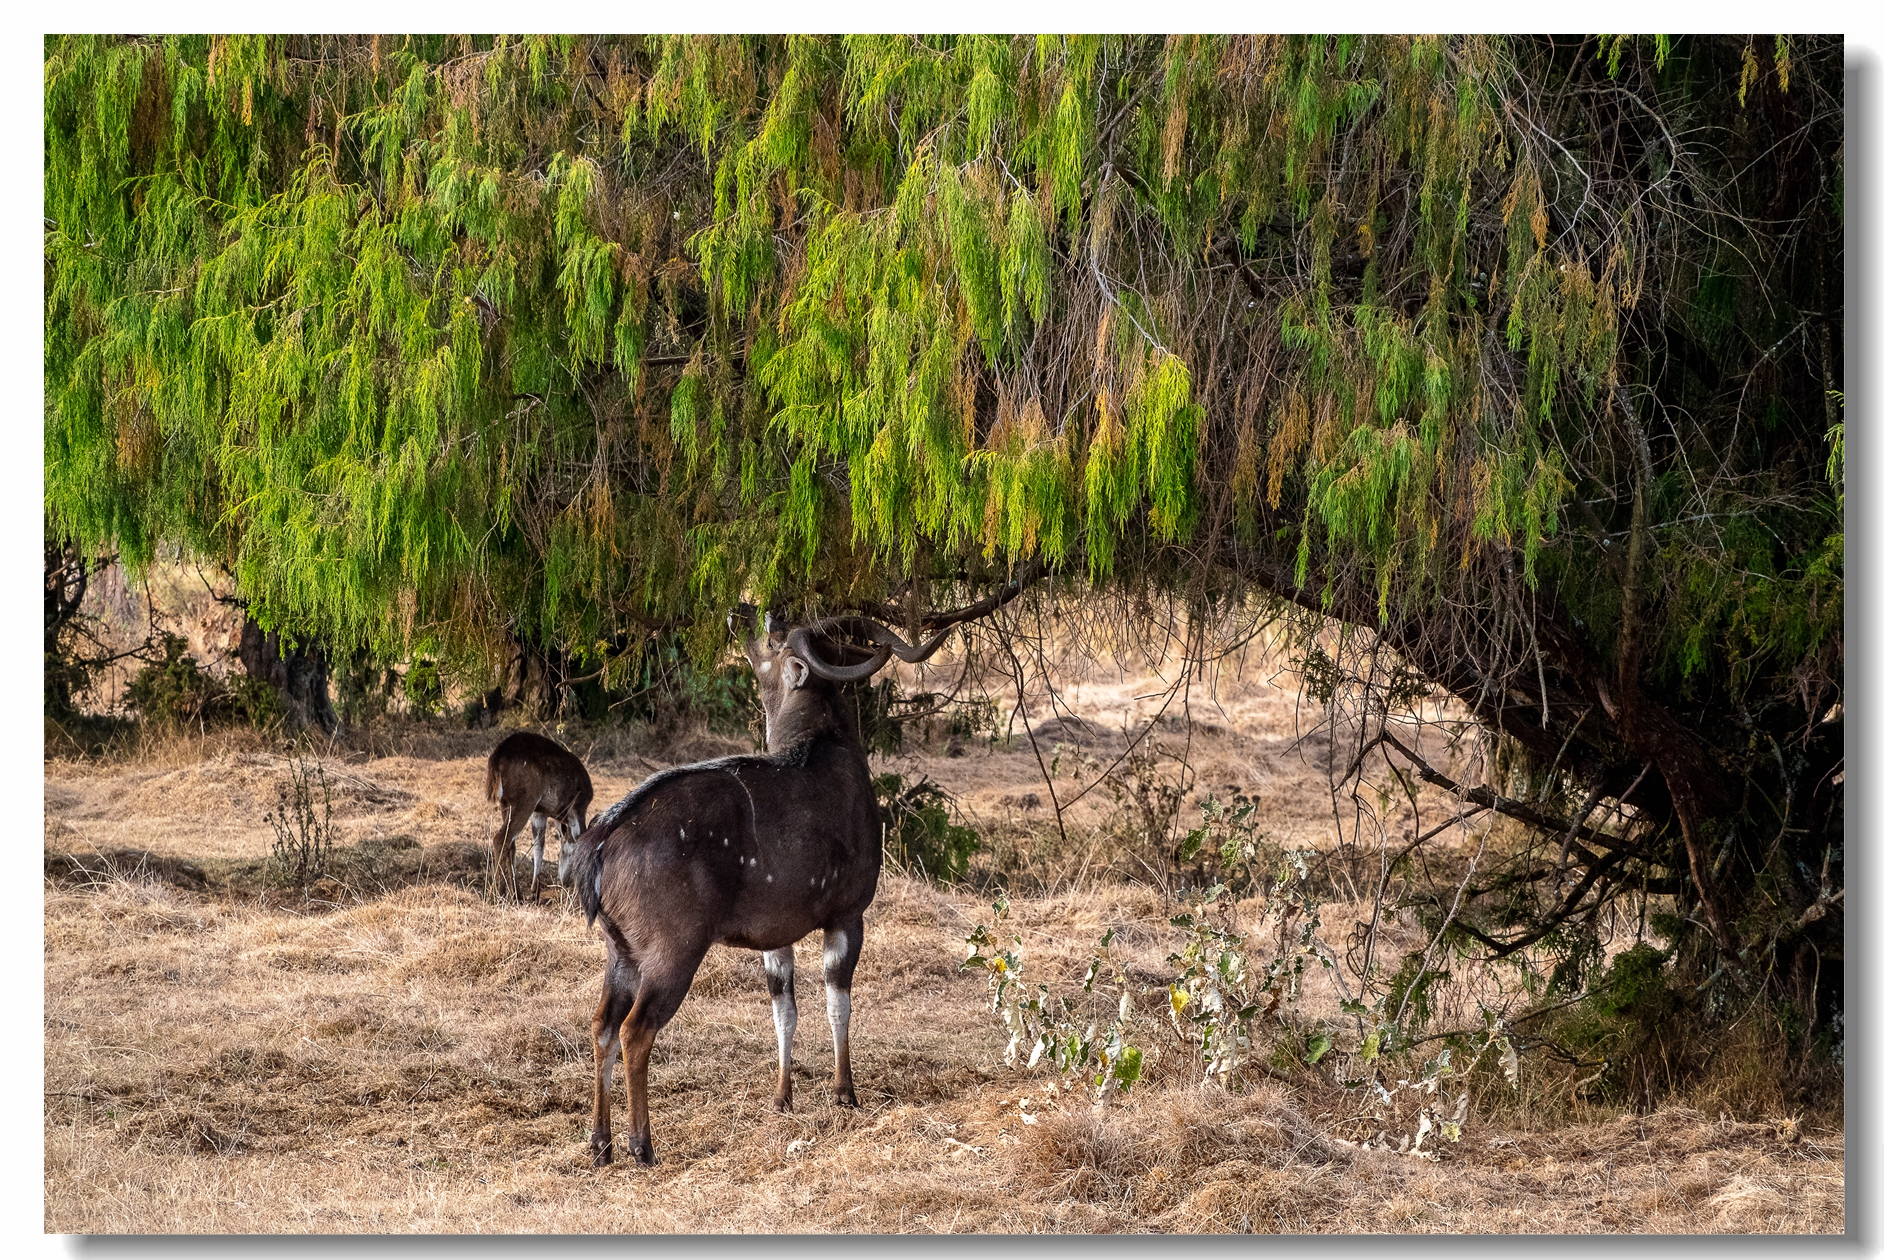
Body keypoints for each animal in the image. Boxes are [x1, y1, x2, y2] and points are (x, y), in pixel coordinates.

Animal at [486, 730, 595, 900]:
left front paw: (534, 890)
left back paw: (516, 893)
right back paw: (501, 893)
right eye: (570, 855)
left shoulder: (539, 812)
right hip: (526, 799)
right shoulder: (576, 808)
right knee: (501, 837)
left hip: (506, 803)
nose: (565, 881)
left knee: (511, 842)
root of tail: (497, 757)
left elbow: (539, 845)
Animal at [565, 583, 1024, 1167]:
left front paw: (782, 1099)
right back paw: (641, 1145)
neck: (825, 749)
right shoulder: (849, 910)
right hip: (673, 946)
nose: (745, 608)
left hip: (620, 949)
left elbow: (784, 1007)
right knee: (634, 1030)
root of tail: (598, 846)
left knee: (601, 1024)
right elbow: (837, 1000)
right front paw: (845, 1092)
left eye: (772, 631)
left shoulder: (774, 932)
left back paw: (600, 1143)